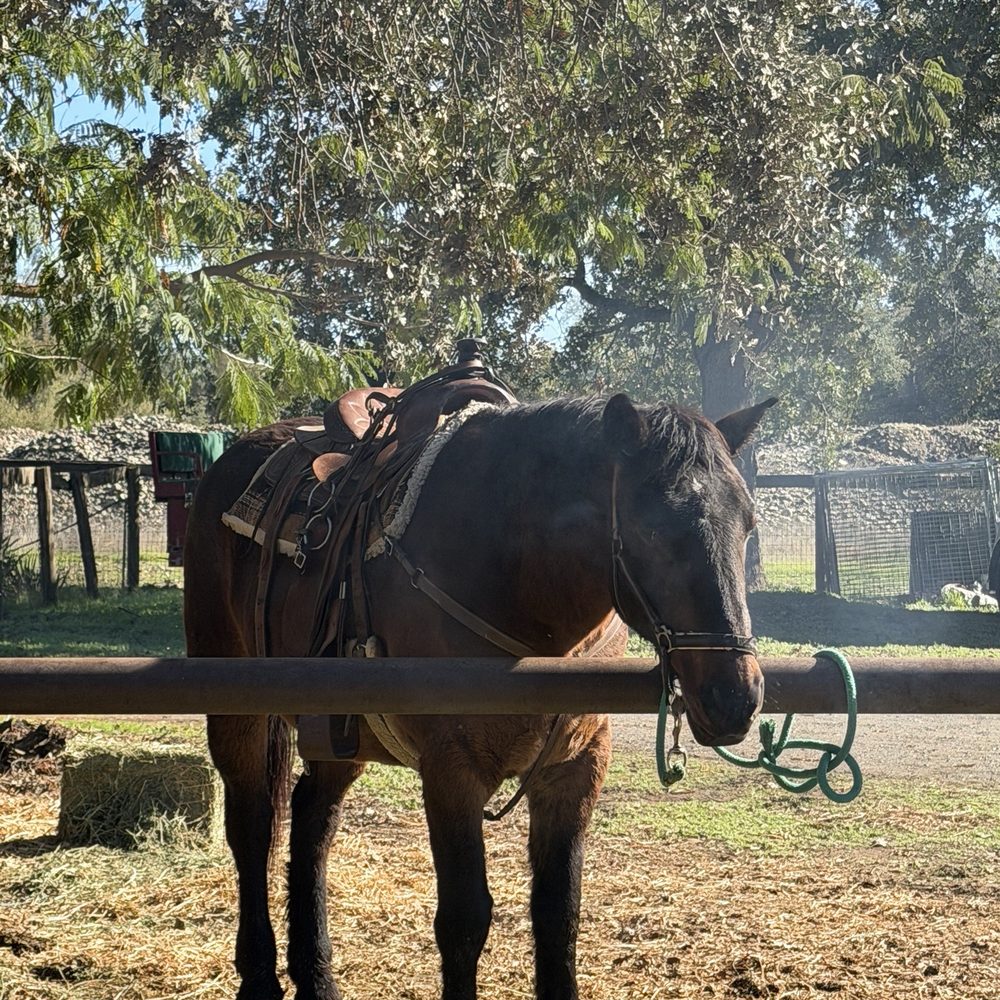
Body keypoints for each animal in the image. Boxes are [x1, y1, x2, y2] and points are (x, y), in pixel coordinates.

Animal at [183, 390, 774, 1000]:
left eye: (748, 525)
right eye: (653, 530)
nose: (735, 696)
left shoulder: (576, 768)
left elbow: (558, 913)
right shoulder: (452, 773)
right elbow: (465, 920)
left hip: (338, 734)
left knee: (311, 819)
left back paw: (317, 976)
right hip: (238, 709)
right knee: (252, 825)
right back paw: (260, 975)